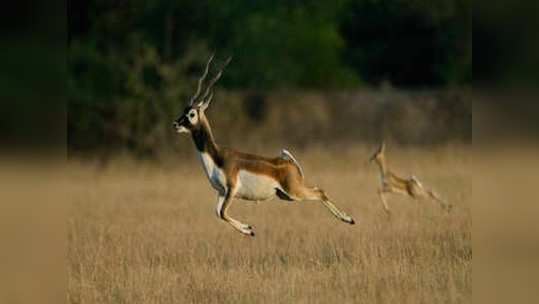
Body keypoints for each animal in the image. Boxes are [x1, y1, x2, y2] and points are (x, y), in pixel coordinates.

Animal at [173, 56, 356, 238]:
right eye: (183, 110)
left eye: (192, 114)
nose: (175, 124)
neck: (216, 156)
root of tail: (290, 163)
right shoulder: (221, 192)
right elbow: (218, 213)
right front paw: (248, 229)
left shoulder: (231, 189)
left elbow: (223, 213)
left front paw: (249, 229)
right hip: (286, 196)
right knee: (319, 190)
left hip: (294, 192)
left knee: (320, 192)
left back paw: (349, 219)